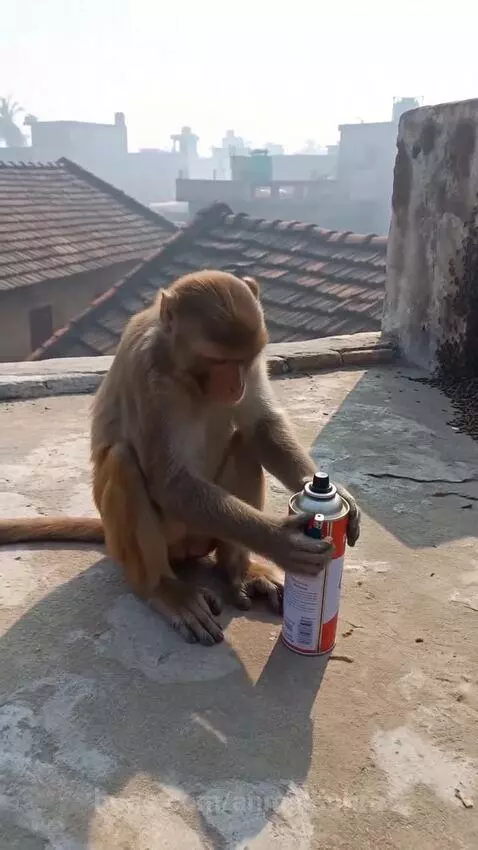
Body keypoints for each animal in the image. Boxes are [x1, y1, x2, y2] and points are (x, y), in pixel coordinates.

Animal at [0, 271, 361, 645]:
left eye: (243, 361)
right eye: (218, 361)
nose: (237, 387)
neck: (180, 368)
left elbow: (260, 427)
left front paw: (335, 495)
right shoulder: (145, 370)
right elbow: (168, 480)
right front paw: (279, 540)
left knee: (243, 442)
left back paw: (238, 569)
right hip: (162, 538)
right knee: (123, 461)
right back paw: (165, 589)